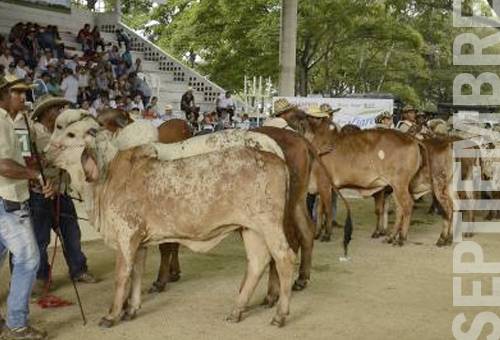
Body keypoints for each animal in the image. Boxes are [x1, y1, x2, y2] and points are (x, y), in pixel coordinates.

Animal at [44, 116, 296, 326]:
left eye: (70, 134)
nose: (45, 152)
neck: (109, 175)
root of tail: (277, 159)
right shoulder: (140, 241)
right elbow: (137, 272)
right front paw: (131, 309)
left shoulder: (126, 235)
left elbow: (122, 275)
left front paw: (112, 314)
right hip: (250, 228)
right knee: (257, 262)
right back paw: (237, 310)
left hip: (269, 225)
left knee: (284, 258)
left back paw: (280, 314)